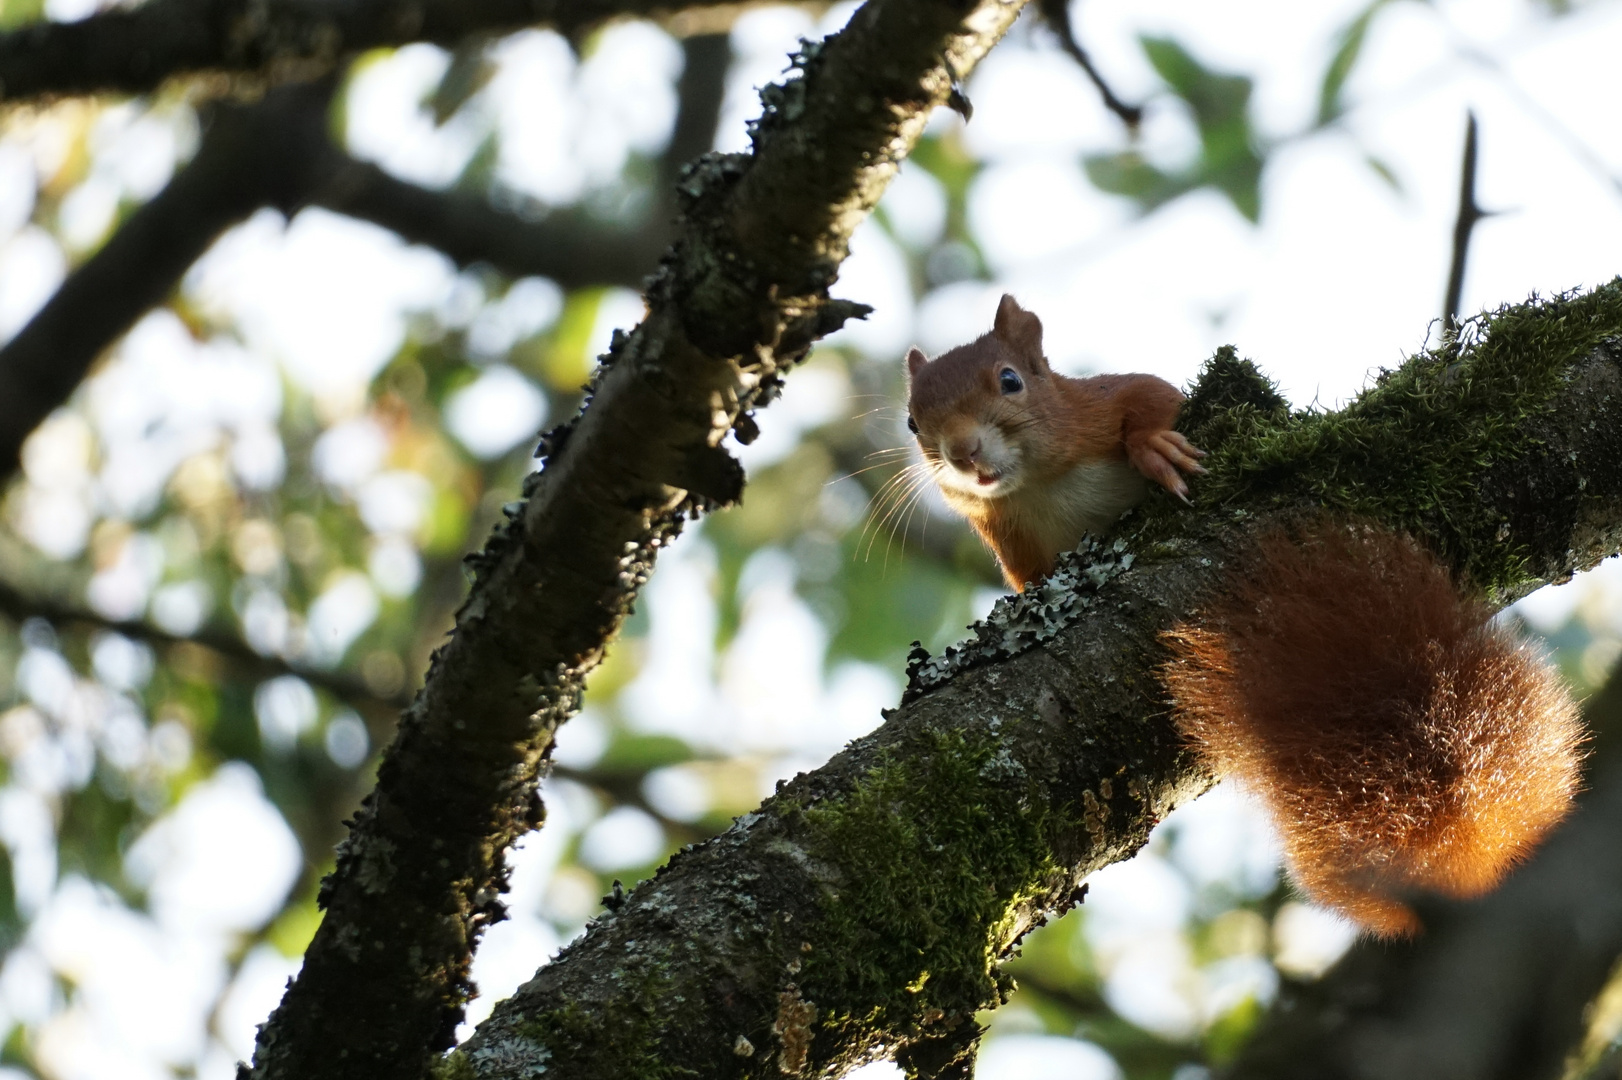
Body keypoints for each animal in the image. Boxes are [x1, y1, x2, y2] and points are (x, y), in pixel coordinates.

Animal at [914, 290, 1583, 927]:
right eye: (914, 423)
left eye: (1010, 380)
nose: (962, 450)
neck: (1040, 489)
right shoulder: (1020, 555)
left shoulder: (1098, 404)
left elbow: (1150, 396)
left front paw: (1155, 446)